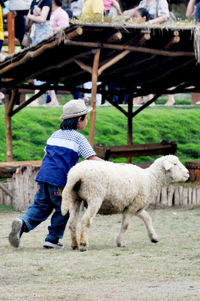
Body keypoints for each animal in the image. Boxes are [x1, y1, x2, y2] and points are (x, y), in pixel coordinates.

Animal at [61, 155, 189, 251]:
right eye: (175, 164)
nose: (187, 173)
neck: (151, 179)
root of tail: (76, 174)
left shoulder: (136, 206)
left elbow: (147, 218)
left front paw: (153, 237)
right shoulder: (132, 207)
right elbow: (125, 225)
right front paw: (120, 242)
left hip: (75, 198)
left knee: (72, 222)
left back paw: (74, 245)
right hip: (94, 196)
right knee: (86, 220)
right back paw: (83, 245)